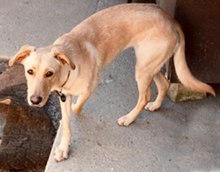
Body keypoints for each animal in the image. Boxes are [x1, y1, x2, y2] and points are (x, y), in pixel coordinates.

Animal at [8, 3, 215, 161]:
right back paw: (156, 105)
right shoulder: (63, 96)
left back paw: (129, 118)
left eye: (49, 73)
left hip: (143, 68)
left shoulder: (91, 86)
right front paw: (63, 148)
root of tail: (171, 20)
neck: (67, 70)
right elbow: (66, 124)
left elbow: (78, 106)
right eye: (29, 71)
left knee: (145, 96)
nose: (35, 100)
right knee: (163, 84)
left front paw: (75, 111)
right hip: (149, 64)